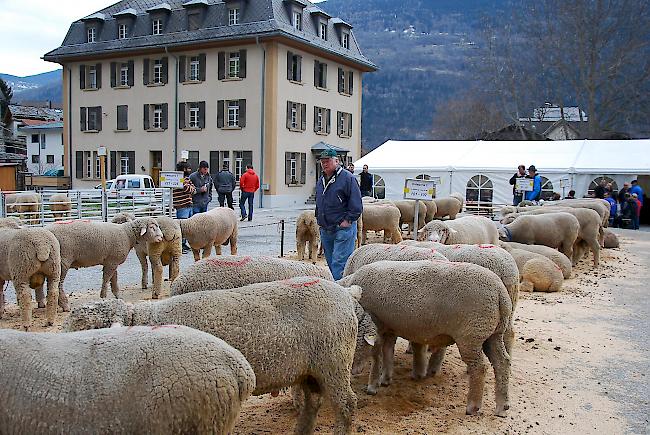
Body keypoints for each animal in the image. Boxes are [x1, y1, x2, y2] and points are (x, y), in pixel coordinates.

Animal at [67, 280, 362, 435]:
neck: (143, 322)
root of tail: (345, 293)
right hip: (311, 368)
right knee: (313, 402)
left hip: (334, 361)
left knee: (346, 404)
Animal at [334, 260, 512, 418]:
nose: (353, 371)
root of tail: (500, 292)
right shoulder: (389, 327)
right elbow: (387, 351)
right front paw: (386, 378)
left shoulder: (378, 323)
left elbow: (377, 353)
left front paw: (373, 384)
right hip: (493, 334)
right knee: (502, 362)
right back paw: (502, 406)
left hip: (472, 336)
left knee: (479, 368)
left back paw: (473, 406)